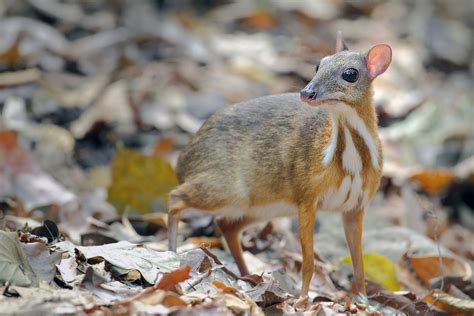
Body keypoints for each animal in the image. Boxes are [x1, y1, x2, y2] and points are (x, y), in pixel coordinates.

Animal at [168, 34, 390, 298]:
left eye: (350, 74)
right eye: (318, 65)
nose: (307, 92)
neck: (350, 163)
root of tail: (183, 162)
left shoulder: (356, 206)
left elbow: (359, 266)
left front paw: (363, 300)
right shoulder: (307, 197)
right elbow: (308, 262)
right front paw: (303, 299)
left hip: (258, 206)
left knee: (226, 225)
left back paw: (247, 276)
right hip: (225, 189)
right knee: (175, 198)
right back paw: (171, 255)